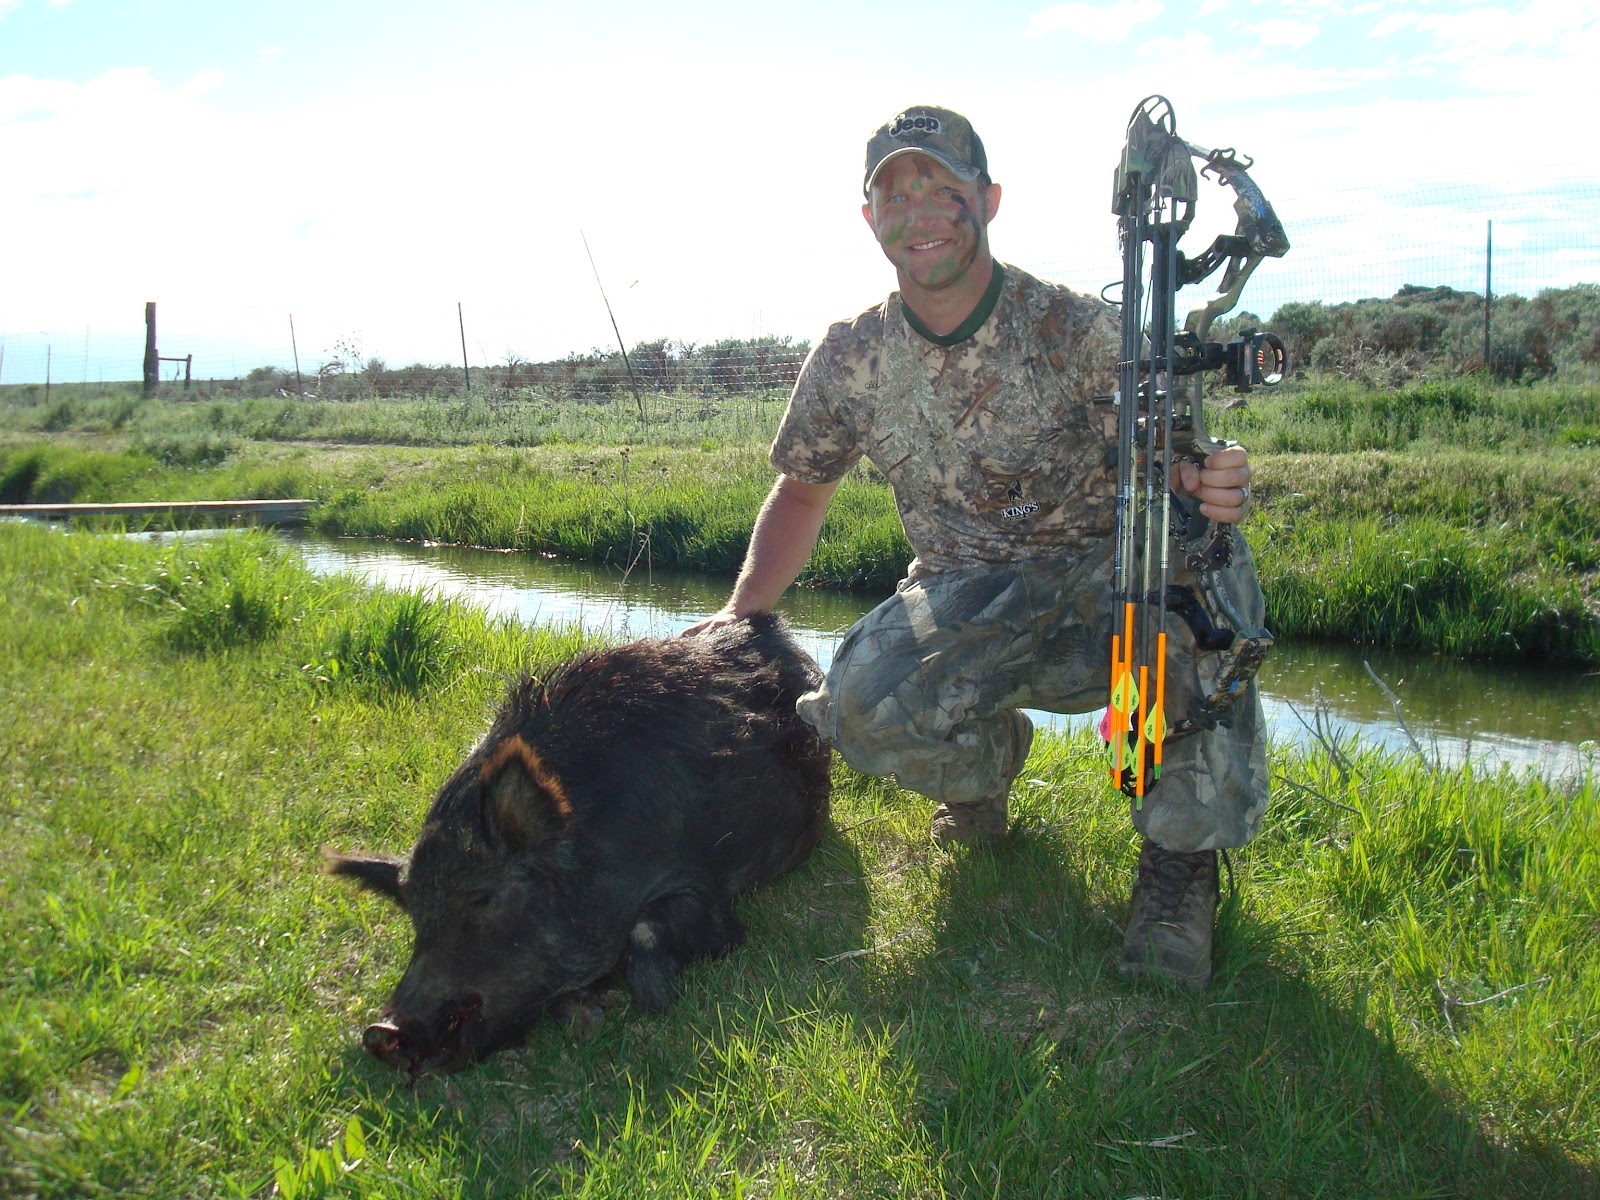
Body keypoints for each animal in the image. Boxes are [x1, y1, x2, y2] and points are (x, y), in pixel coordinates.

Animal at [324, 612, 831, 1076]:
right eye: (412, 909)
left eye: (483, 898)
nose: (381, 1031)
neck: (600, 849)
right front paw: (586, 1013)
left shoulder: (703, 881)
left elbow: (657, 932)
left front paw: (651, 1001)